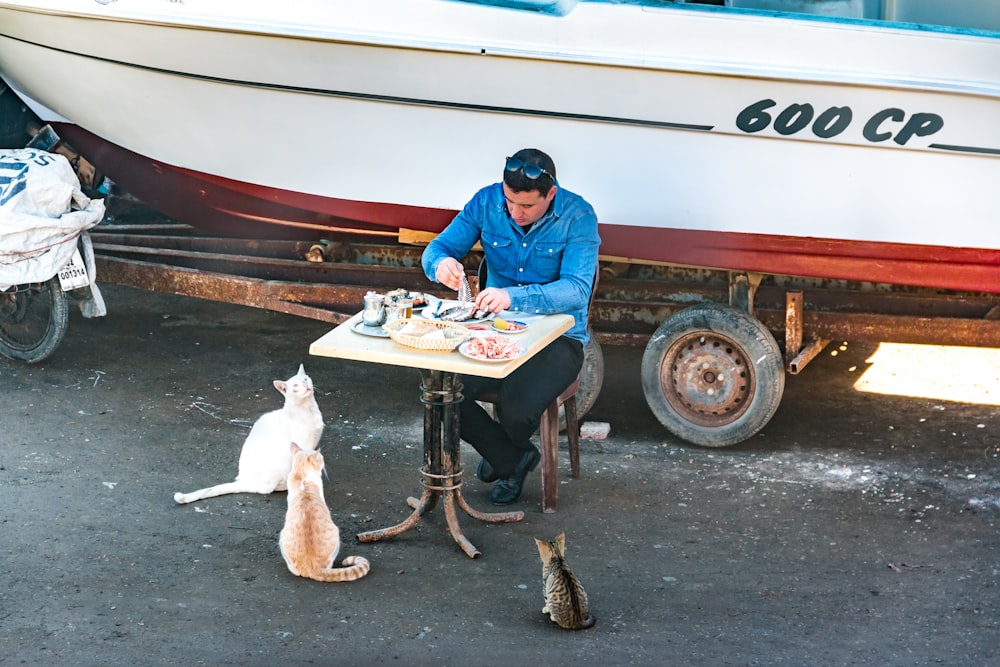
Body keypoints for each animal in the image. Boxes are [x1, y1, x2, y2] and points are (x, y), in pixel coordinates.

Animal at [175, 368, 324, 504]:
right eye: (295, 386)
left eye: (305, 379)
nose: (306, 385)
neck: (309, 410)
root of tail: (245, 479)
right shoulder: (303, 446)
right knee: (266, 489)